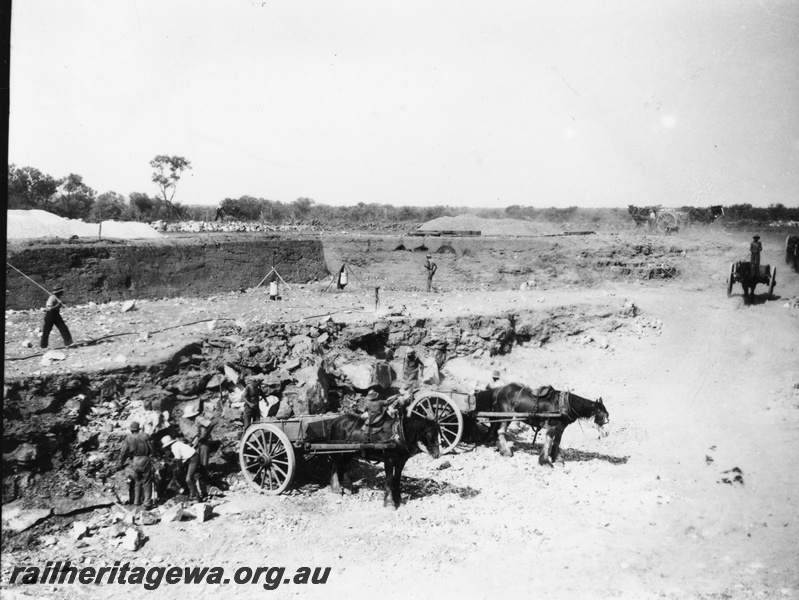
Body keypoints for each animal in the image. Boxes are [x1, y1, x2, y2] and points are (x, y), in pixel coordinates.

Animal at [475, 383, 609, 466]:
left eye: (607, 413)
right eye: (599, 412)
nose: (607, 432)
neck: (563, 404)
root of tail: (500, 389)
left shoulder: (560, 428)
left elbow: (557, 442)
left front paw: (556, 459)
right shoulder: (551, 425)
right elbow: (548, 441)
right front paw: (545, 461)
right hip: (506, 415)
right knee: (500, 431)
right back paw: (506, 451)